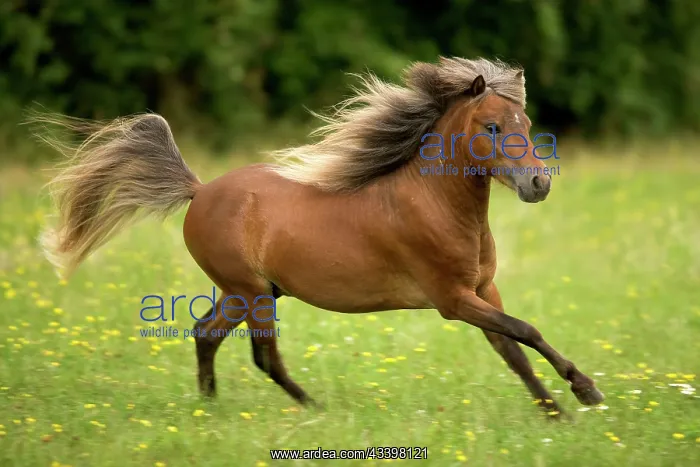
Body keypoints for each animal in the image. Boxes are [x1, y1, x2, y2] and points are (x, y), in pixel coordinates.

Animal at [36, 57, 603, 417]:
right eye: (490, 127)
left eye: (525, 121)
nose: (538, 184)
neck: (436, 204)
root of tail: (198, 192)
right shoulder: (452, 299)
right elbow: (526, 331)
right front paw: (585, 392)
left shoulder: (484, 291)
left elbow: (514, 349)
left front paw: (561, 409)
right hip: (252, 293)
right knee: (261, 355)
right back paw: (314, 408)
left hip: (244, 292)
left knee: (205, 335)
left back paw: (209, 408)